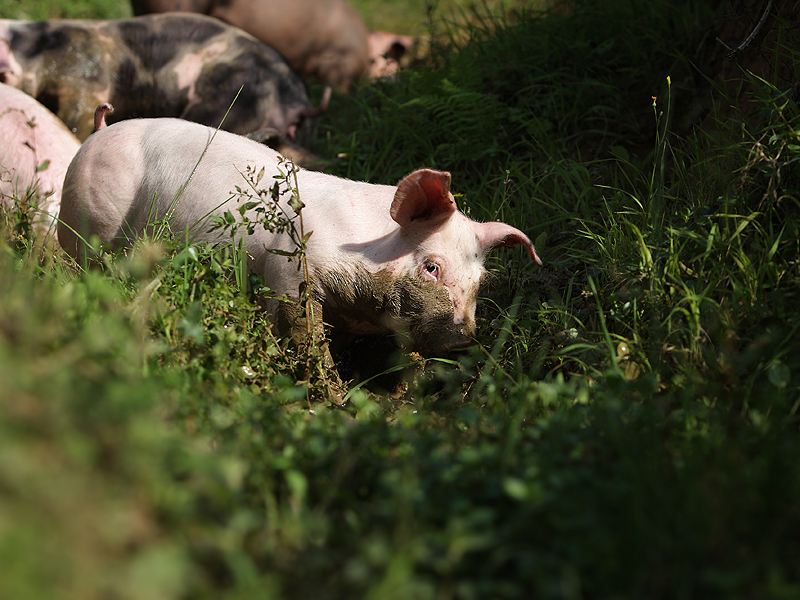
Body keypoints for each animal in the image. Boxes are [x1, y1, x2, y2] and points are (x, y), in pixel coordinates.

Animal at [59, 118, 540, 360]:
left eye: (480, 281)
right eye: (432, 266)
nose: (463, 340)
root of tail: (98, 132)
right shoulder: (288, 273)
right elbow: (301, 332)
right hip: (90, 224)